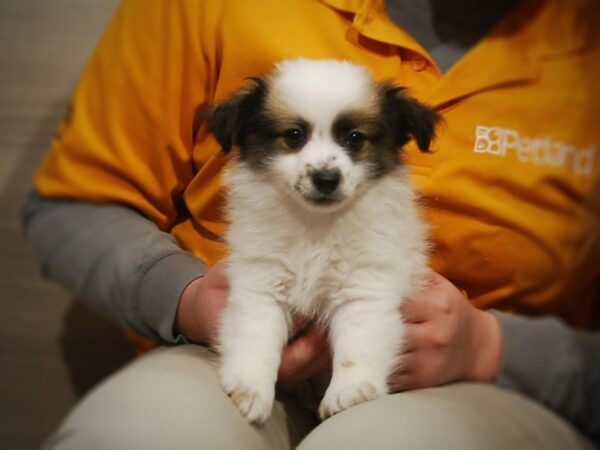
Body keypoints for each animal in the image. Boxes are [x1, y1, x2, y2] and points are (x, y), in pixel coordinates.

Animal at [206, 58, 440, 424]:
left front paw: (349, 391)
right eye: (294, 136)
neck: (316, 226)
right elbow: (255, 337)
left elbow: (357, 343)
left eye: (355, 138)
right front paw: (250, 388)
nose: (326, 179)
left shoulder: (364, 288)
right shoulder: (261, 284)